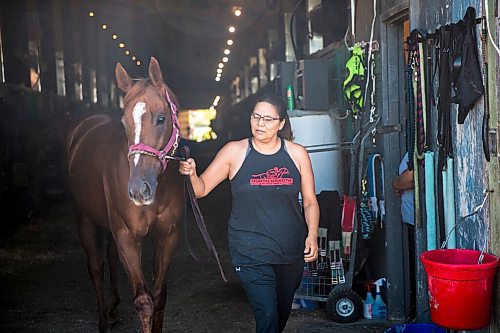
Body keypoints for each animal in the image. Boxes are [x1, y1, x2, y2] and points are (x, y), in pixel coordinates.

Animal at [66, 57, 184, 332]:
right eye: (124, 123)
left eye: (161, 118)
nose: (139, 190)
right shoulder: (127, 237)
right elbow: (144, 302)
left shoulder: (167, 237)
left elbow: (160, 296)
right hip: (84, 219)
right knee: (96, 267)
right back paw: (103, 321)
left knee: (109, 258)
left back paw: (113, 309)